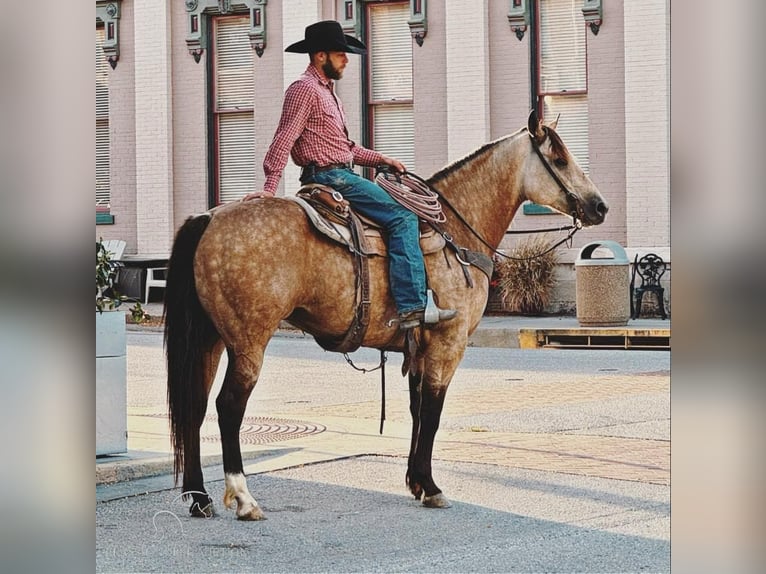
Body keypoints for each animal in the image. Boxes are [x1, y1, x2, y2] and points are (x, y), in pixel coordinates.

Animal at [165, 110, 608, 520]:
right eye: (560, 158)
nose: (599, 206)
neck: (455, 232)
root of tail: (208, 218)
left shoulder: (420, 348)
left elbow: (416, 409)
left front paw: (416, 481)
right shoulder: (448, 343)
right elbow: (432, 411)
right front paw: (431, 487)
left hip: (210, 339)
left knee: (195, 407)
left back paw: (200, 498)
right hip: (248, 341)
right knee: (228, 407)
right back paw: (243, 498)